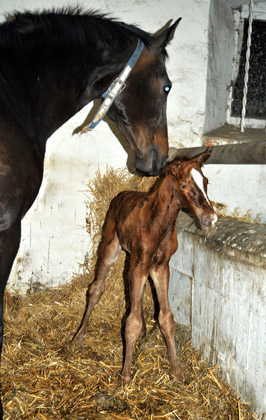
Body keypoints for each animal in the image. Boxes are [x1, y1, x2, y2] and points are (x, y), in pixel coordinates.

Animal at [74, 149, 216, 386]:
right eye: (183, 184)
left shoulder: (160, 267)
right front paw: (125, 376)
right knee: (95, 289)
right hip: (111, 248)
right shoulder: (139, 265)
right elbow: (131, 321)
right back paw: (78, 337)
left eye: (205, 182)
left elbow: (166, 318)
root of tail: (122, 194)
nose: (210, 218)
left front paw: (176, 372)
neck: (158, 223)